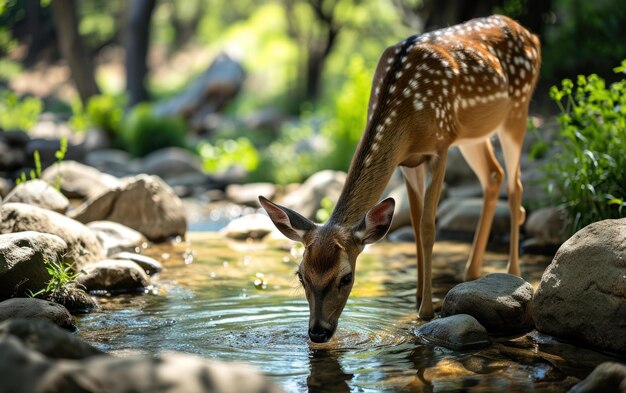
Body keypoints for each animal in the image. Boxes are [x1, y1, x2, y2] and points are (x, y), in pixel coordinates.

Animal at [258, 14, 540, 340]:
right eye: (301, 274)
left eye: (346, 277)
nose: (318, 332)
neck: (405, 115)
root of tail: (530, 34)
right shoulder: (407, 160)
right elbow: (415, 226)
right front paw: (416, 297)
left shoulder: (440, 146)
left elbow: (429, 227)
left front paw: (426, 311)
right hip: (474, 134)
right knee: (494, 175)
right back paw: (471, 272)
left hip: (517, 110)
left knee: (515, 183)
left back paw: (513, 271)